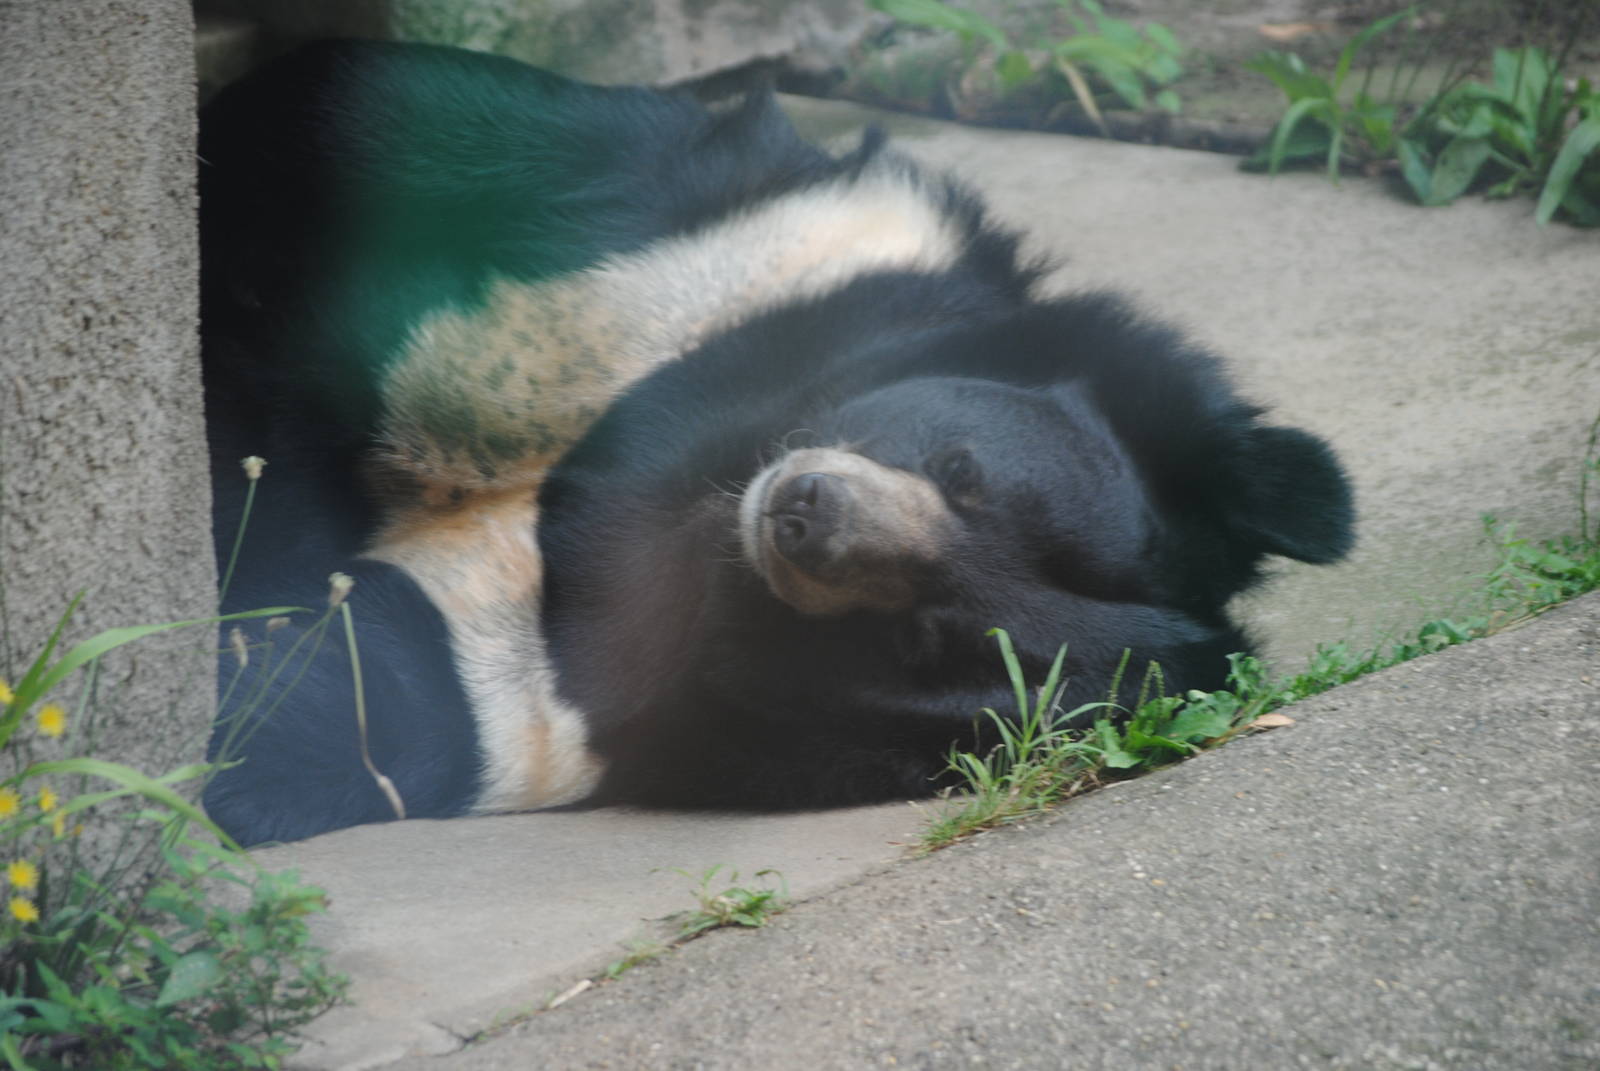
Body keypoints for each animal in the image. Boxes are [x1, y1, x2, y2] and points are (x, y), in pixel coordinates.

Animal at [198, 39, 1354, 847]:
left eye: (925, 634)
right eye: (960, 470)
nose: (802, 513)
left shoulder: (559, 701)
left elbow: (322, 704)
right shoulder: (726, 265)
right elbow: (354, 130)